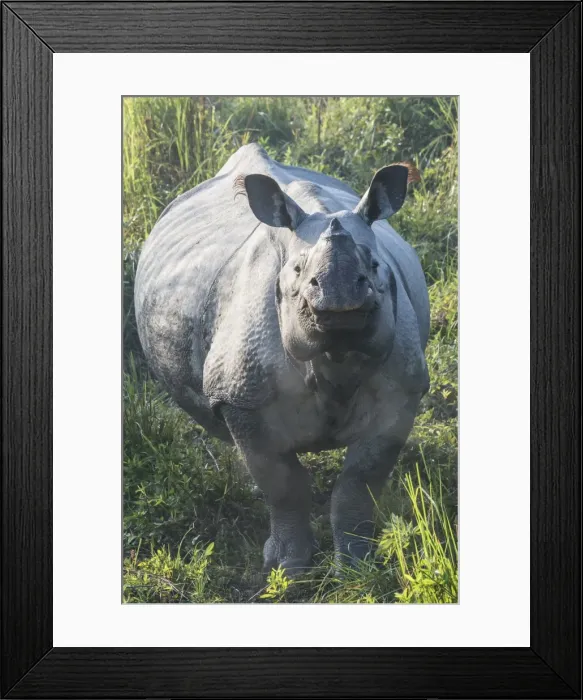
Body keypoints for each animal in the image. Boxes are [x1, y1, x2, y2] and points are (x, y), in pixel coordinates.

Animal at [134, 143, 430, 573]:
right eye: (298, 270)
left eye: (374, 267)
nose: (339, 300)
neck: (335, 357)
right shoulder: (242, 396)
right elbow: (282, 484)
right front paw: (288, 569)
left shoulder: (402, 392)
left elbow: (359, 483)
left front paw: (357, 565)